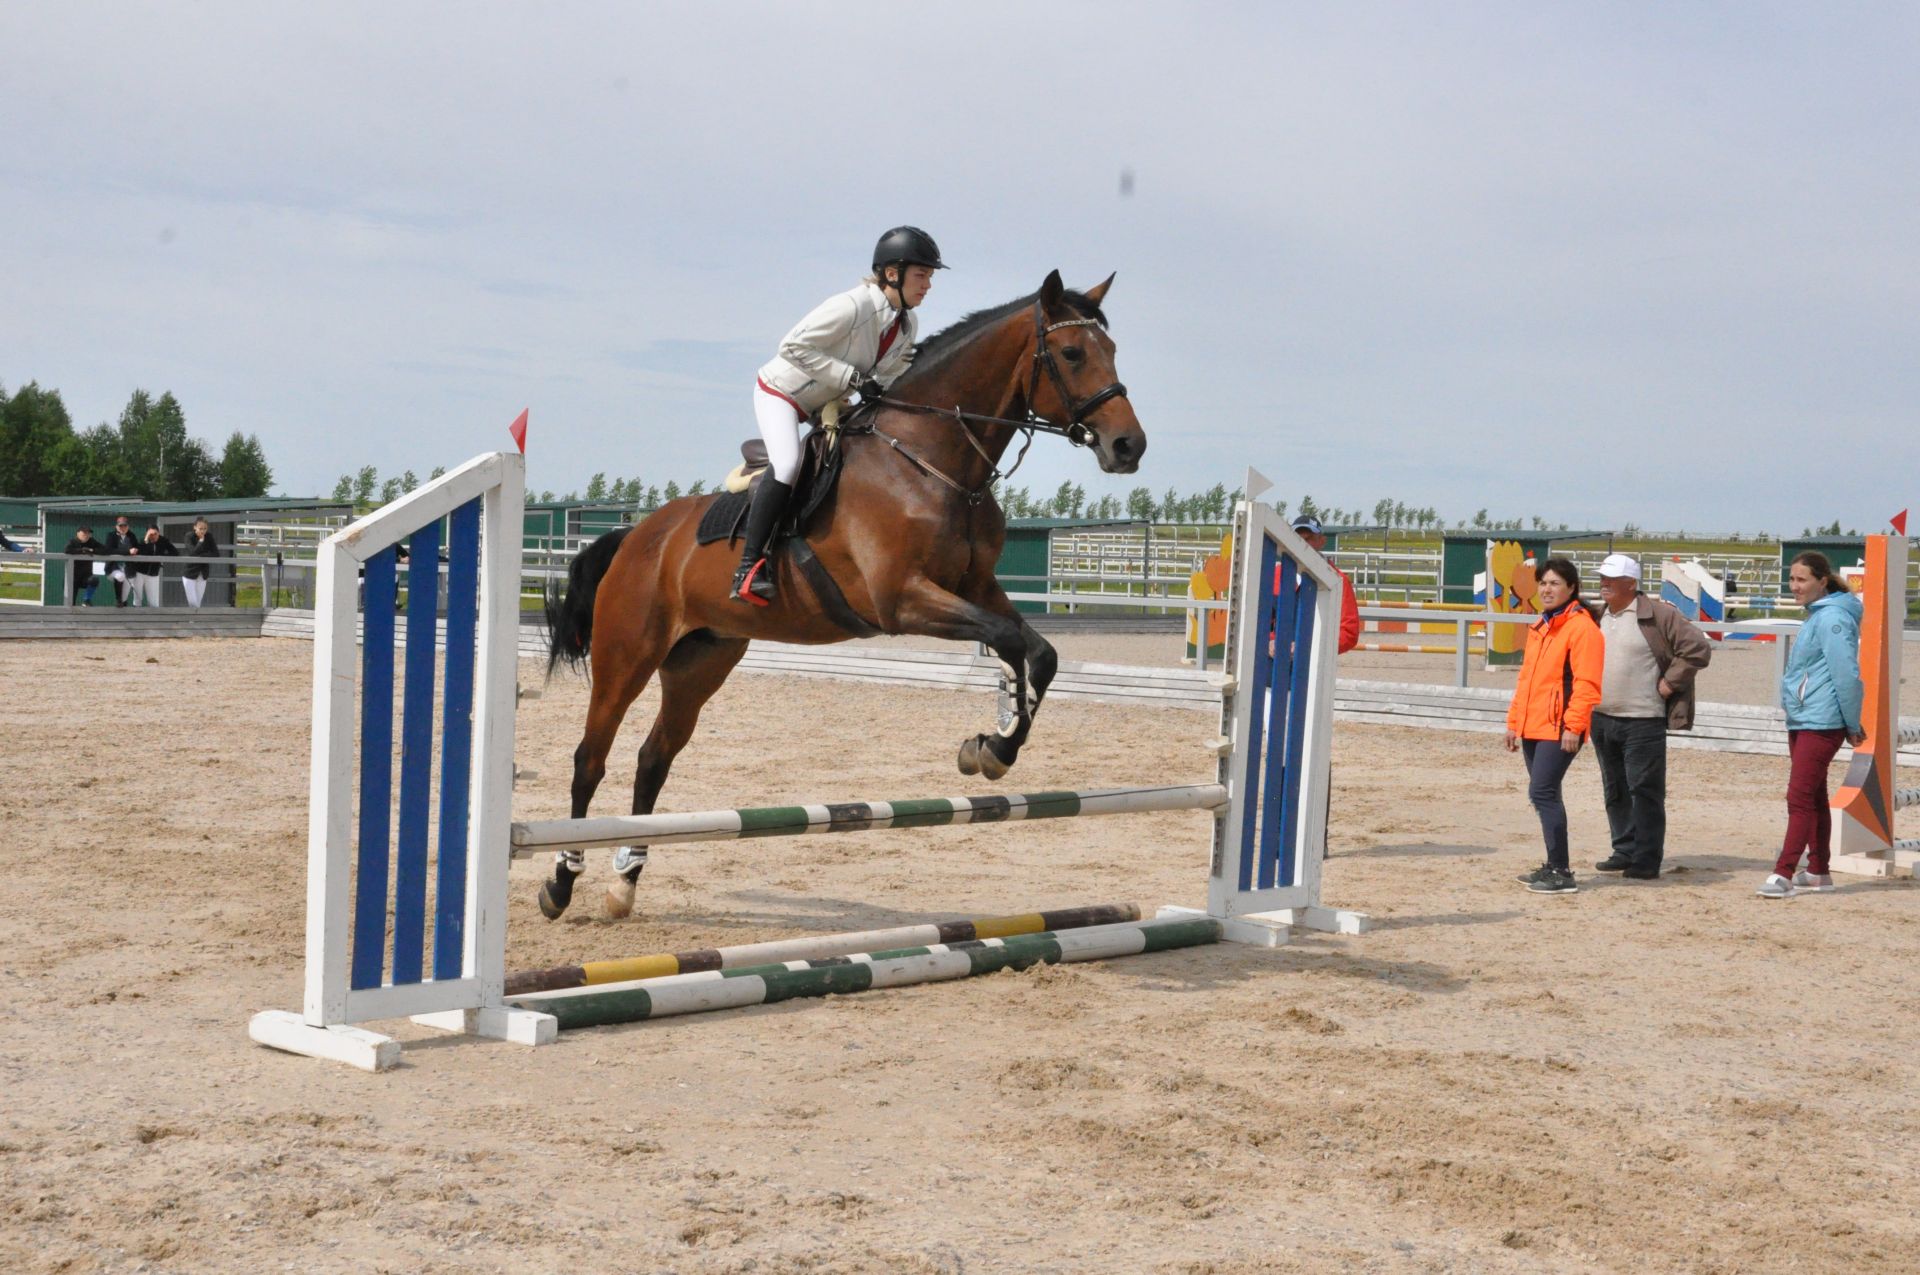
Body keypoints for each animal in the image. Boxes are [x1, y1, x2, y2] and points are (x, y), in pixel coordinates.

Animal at [533, 274, 1144, 921]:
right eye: (1072, 354)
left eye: (1111, 351)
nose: (1129, 446)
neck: (930, 460)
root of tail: (635, 537)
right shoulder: (902, 601)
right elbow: (1006, 639)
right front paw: (993, 746)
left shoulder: (975, 588)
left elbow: (1038, 653)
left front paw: (992, 746)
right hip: (626, 655)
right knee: (589, 760)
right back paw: (561, 883)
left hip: (701, 661)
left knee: (653, 758)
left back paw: (624, 882)